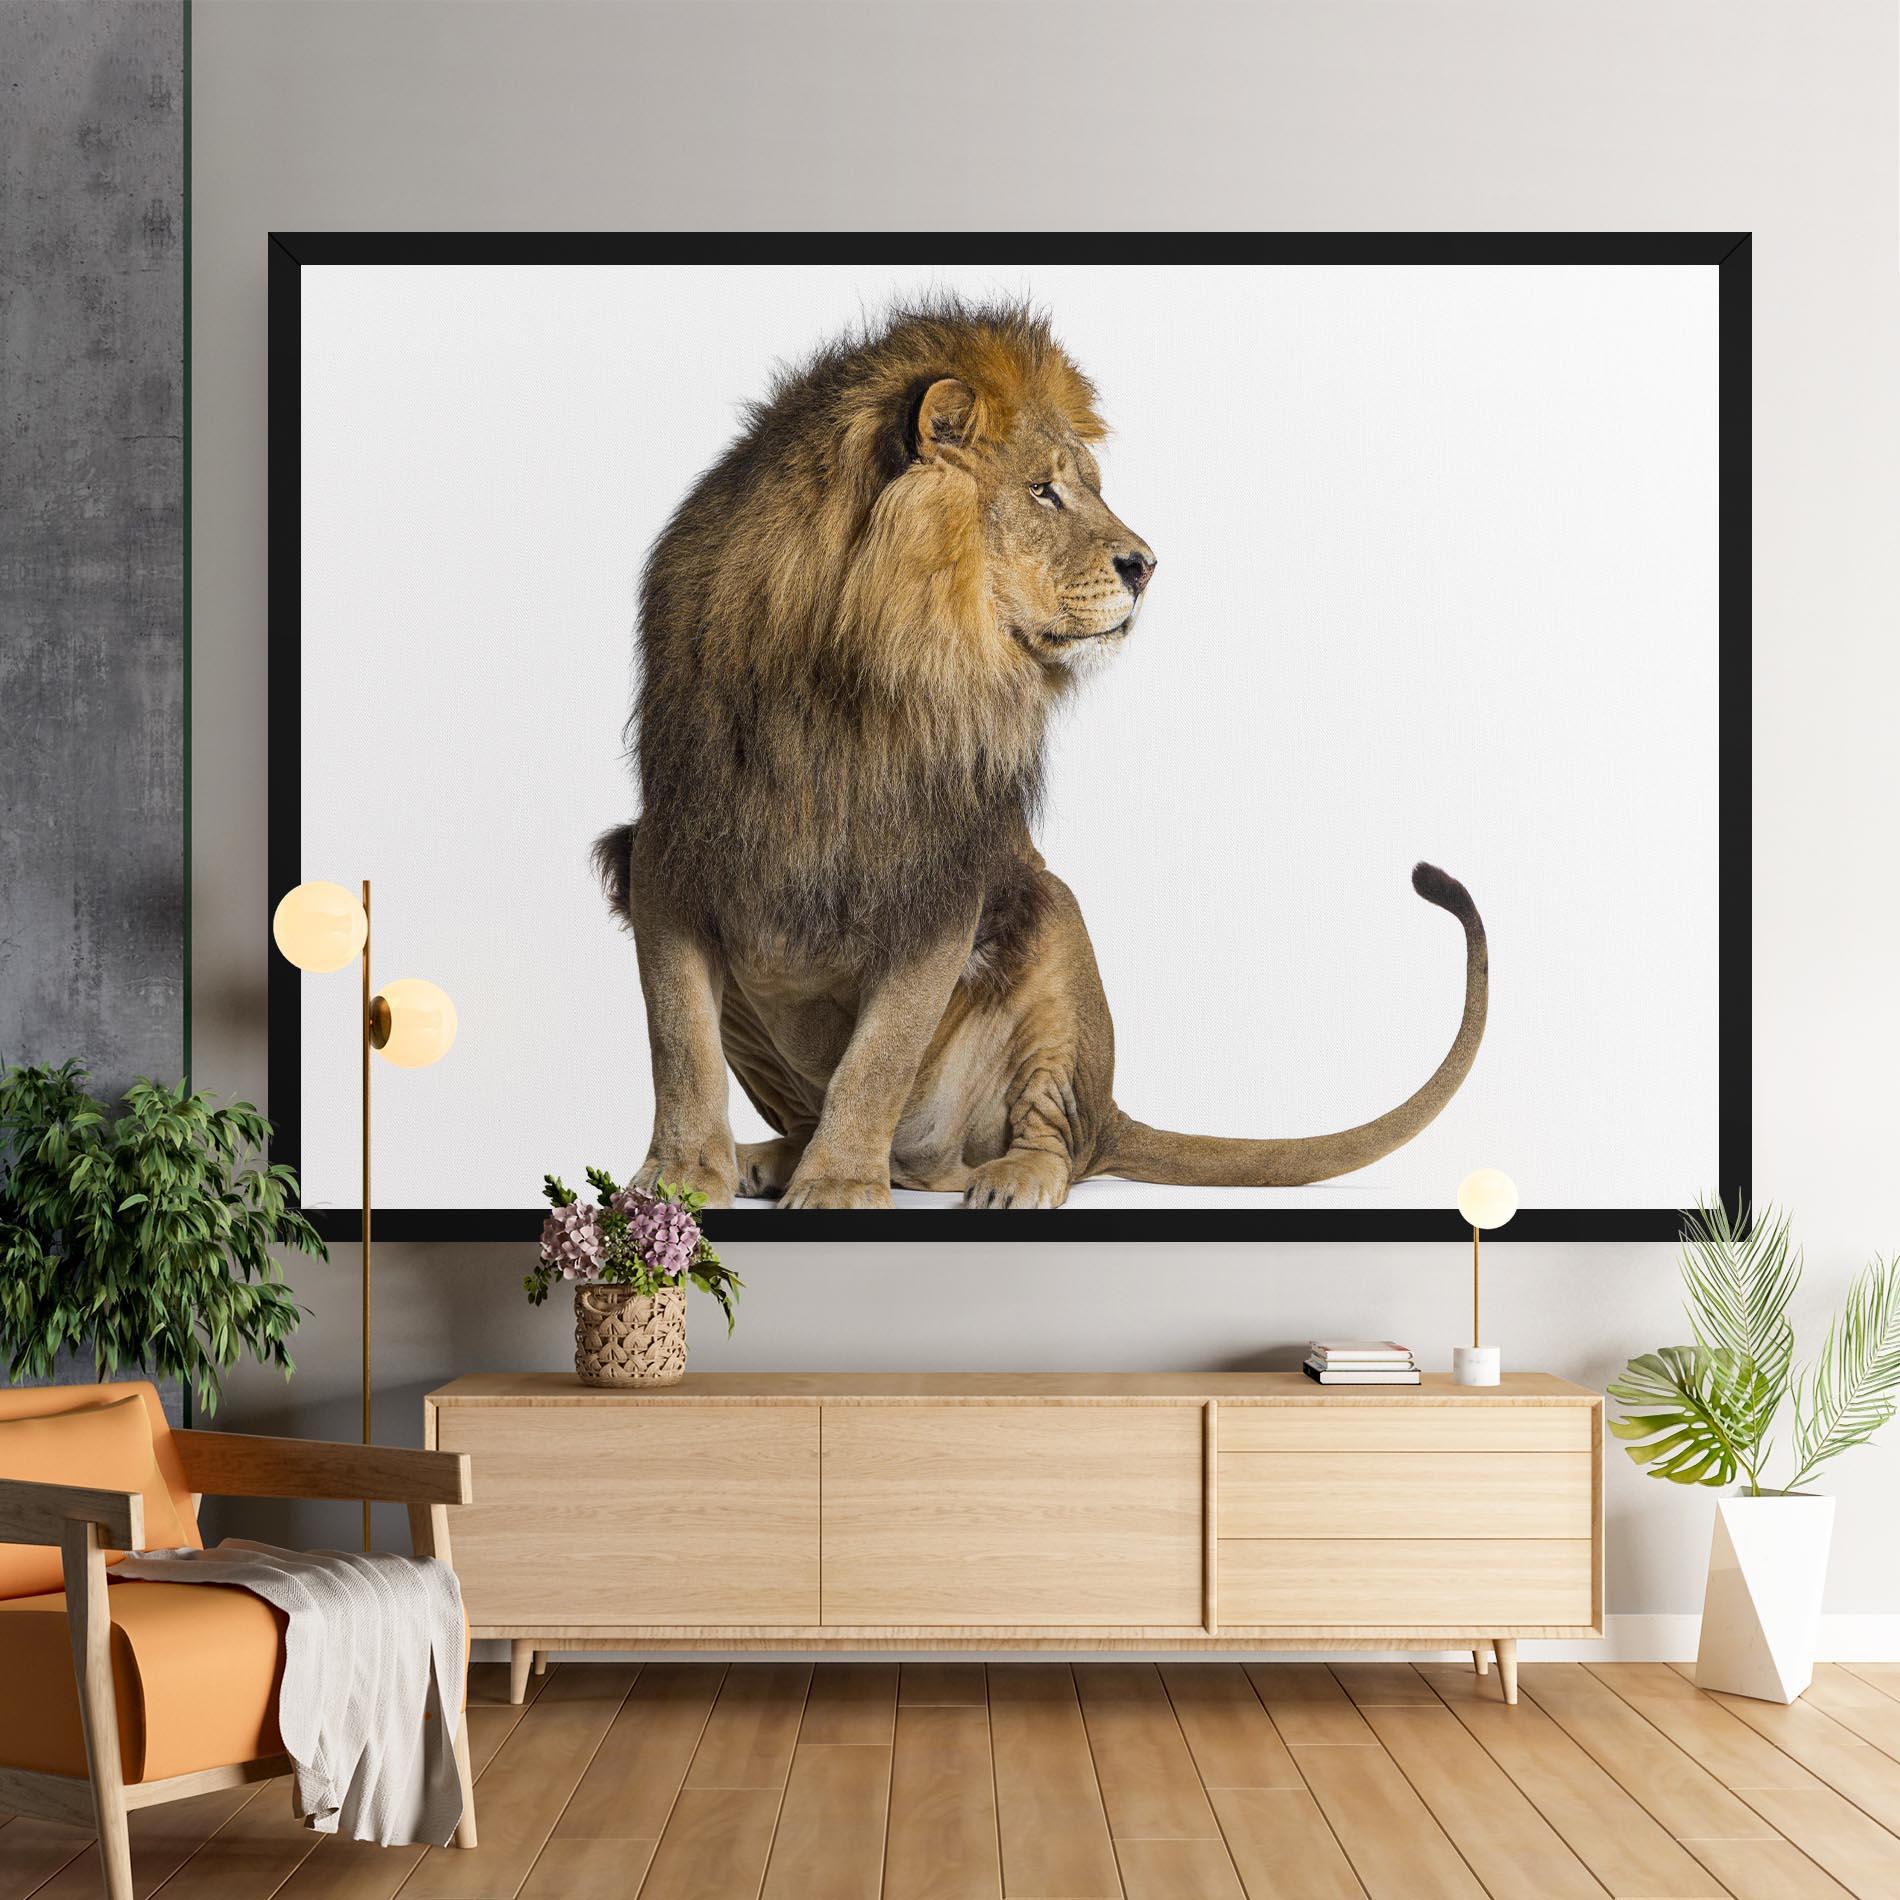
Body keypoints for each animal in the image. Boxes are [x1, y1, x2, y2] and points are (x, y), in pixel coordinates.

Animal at [595, 300, 1487, 1209]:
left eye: (1087, 487)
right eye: (1043, 491)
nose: (1147, 566)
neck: (851, 674)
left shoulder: (942, 876)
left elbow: (877, 1058)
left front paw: (840, 1184)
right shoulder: (668, 847)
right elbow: (680, 1042)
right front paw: (677, 1178)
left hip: (1053, 931)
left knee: (1055, 1134)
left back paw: (1006, 1175)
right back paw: (772, 1158)